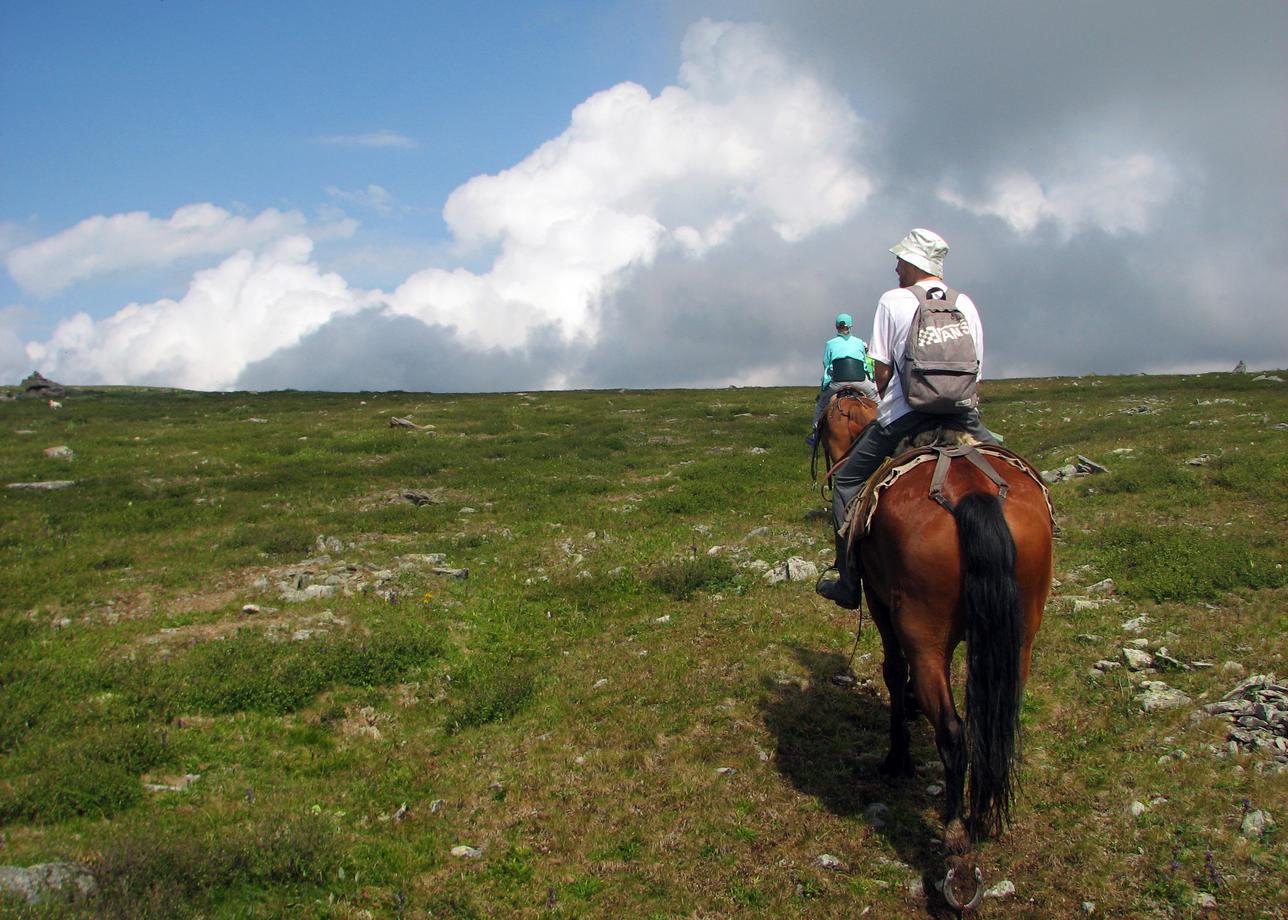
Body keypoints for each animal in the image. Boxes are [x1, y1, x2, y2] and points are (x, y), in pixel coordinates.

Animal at [819, 414, 1051, 901]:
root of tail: (972, 495)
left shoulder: (882, 606)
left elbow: (893, 671)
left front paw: (898, 757)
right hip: (1021, 634)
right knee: (997, 720)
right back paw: (983, 816)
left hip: (922, 633)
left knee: (953, 730)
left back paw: (956, 839)